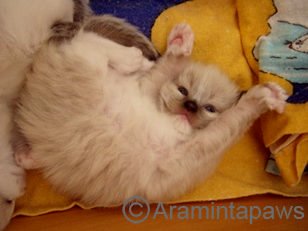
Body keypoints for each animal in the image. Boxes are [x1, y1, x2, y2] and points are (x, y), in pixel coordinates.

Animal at [14, 23, 288, 206]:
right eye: (183, 90)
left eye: (209, 108)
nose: (190, 106)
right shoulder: (151, 100)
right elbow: (234, 116)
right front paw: (268, 95)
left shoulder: (186, 150)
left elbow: (229, 119)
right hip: (90, 67)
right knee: (88, 42)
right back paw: (136, 57)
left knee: (88, 42)